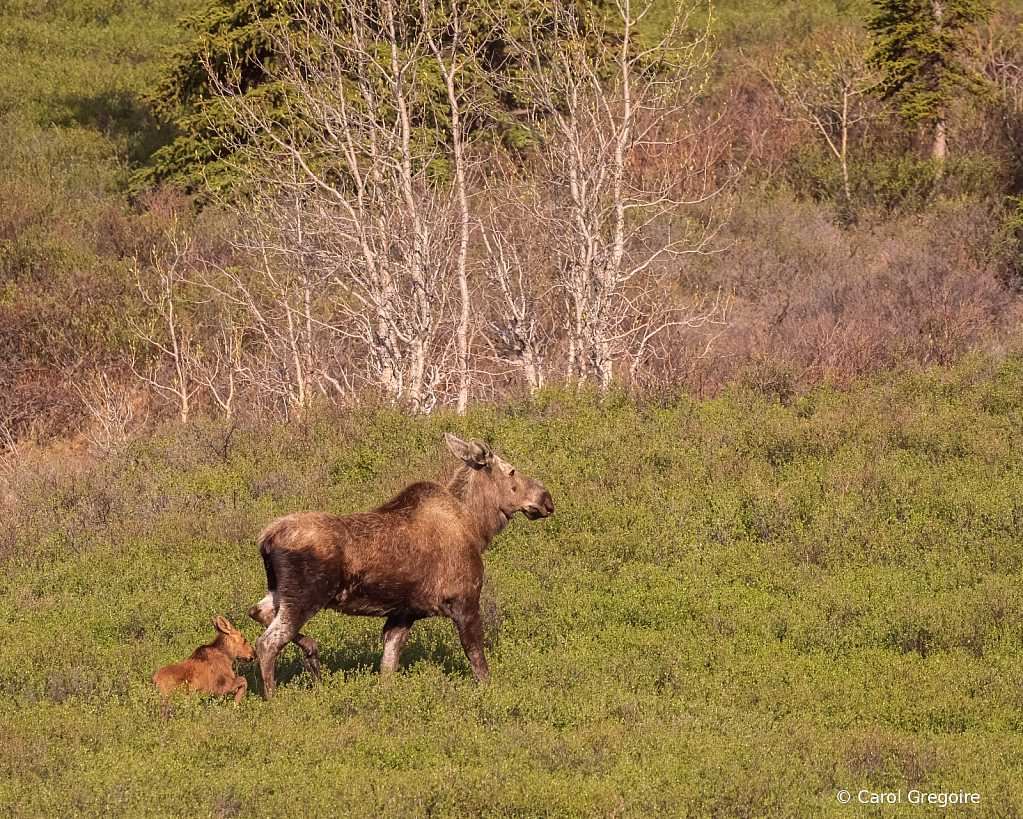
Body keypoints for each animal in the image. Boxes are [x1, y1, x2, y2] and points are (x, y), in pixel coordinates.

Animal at [247, 433, 556, 695]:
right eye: (511, 470)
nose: (546, 499)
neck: (478, 529)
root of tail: (266, 539)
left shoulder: (403, 613)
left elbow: (388, 664)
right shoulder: (465, 601)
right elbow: (478, 662)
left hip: (280, 591)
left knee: (256, 612)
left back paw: (311, 653)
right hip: (305, 596)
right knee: (267, 642)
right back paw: (273, 696)